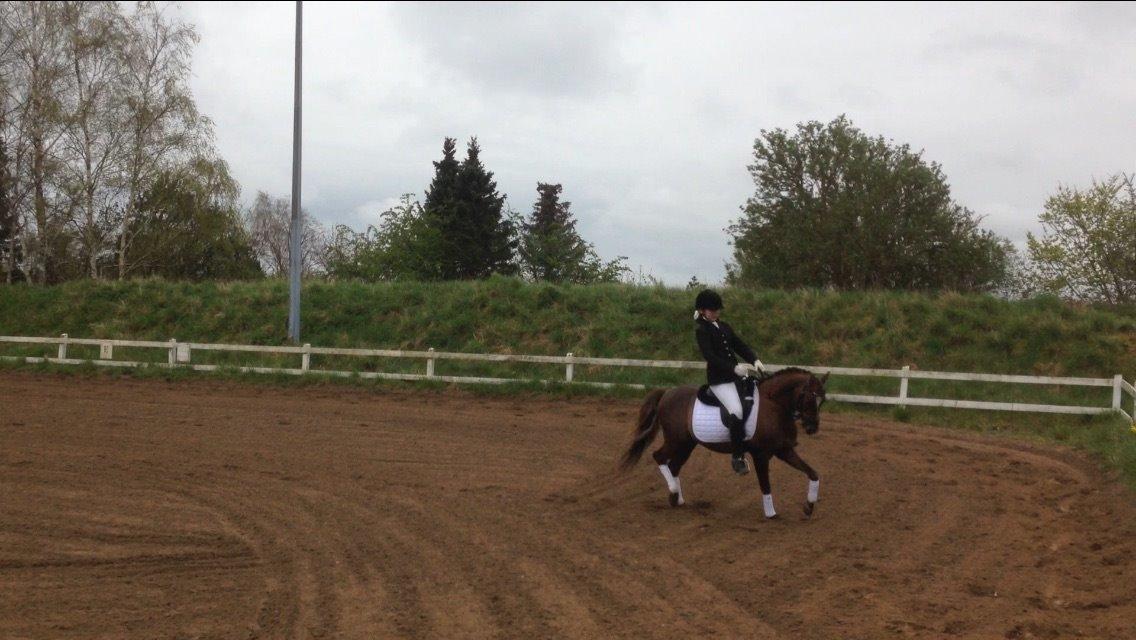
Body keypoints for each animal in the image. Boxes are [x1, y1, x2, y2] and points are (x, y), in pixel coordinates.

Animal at [620, 368, 828, 519]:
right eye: (810, 397)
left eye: (822, 400)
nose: (812, 428)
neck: (774, 406)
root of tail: (667, 392)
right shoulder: (761, 455)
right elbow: (765, 485)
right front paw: (771, 514)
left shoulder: (784, 450)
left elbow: (813, 473)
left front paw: (809, 506)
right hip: (675, 440)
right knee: (659, 457)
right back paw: (673, 492)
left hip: (686, 444)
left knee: (674, 466)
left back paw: (677, 498)